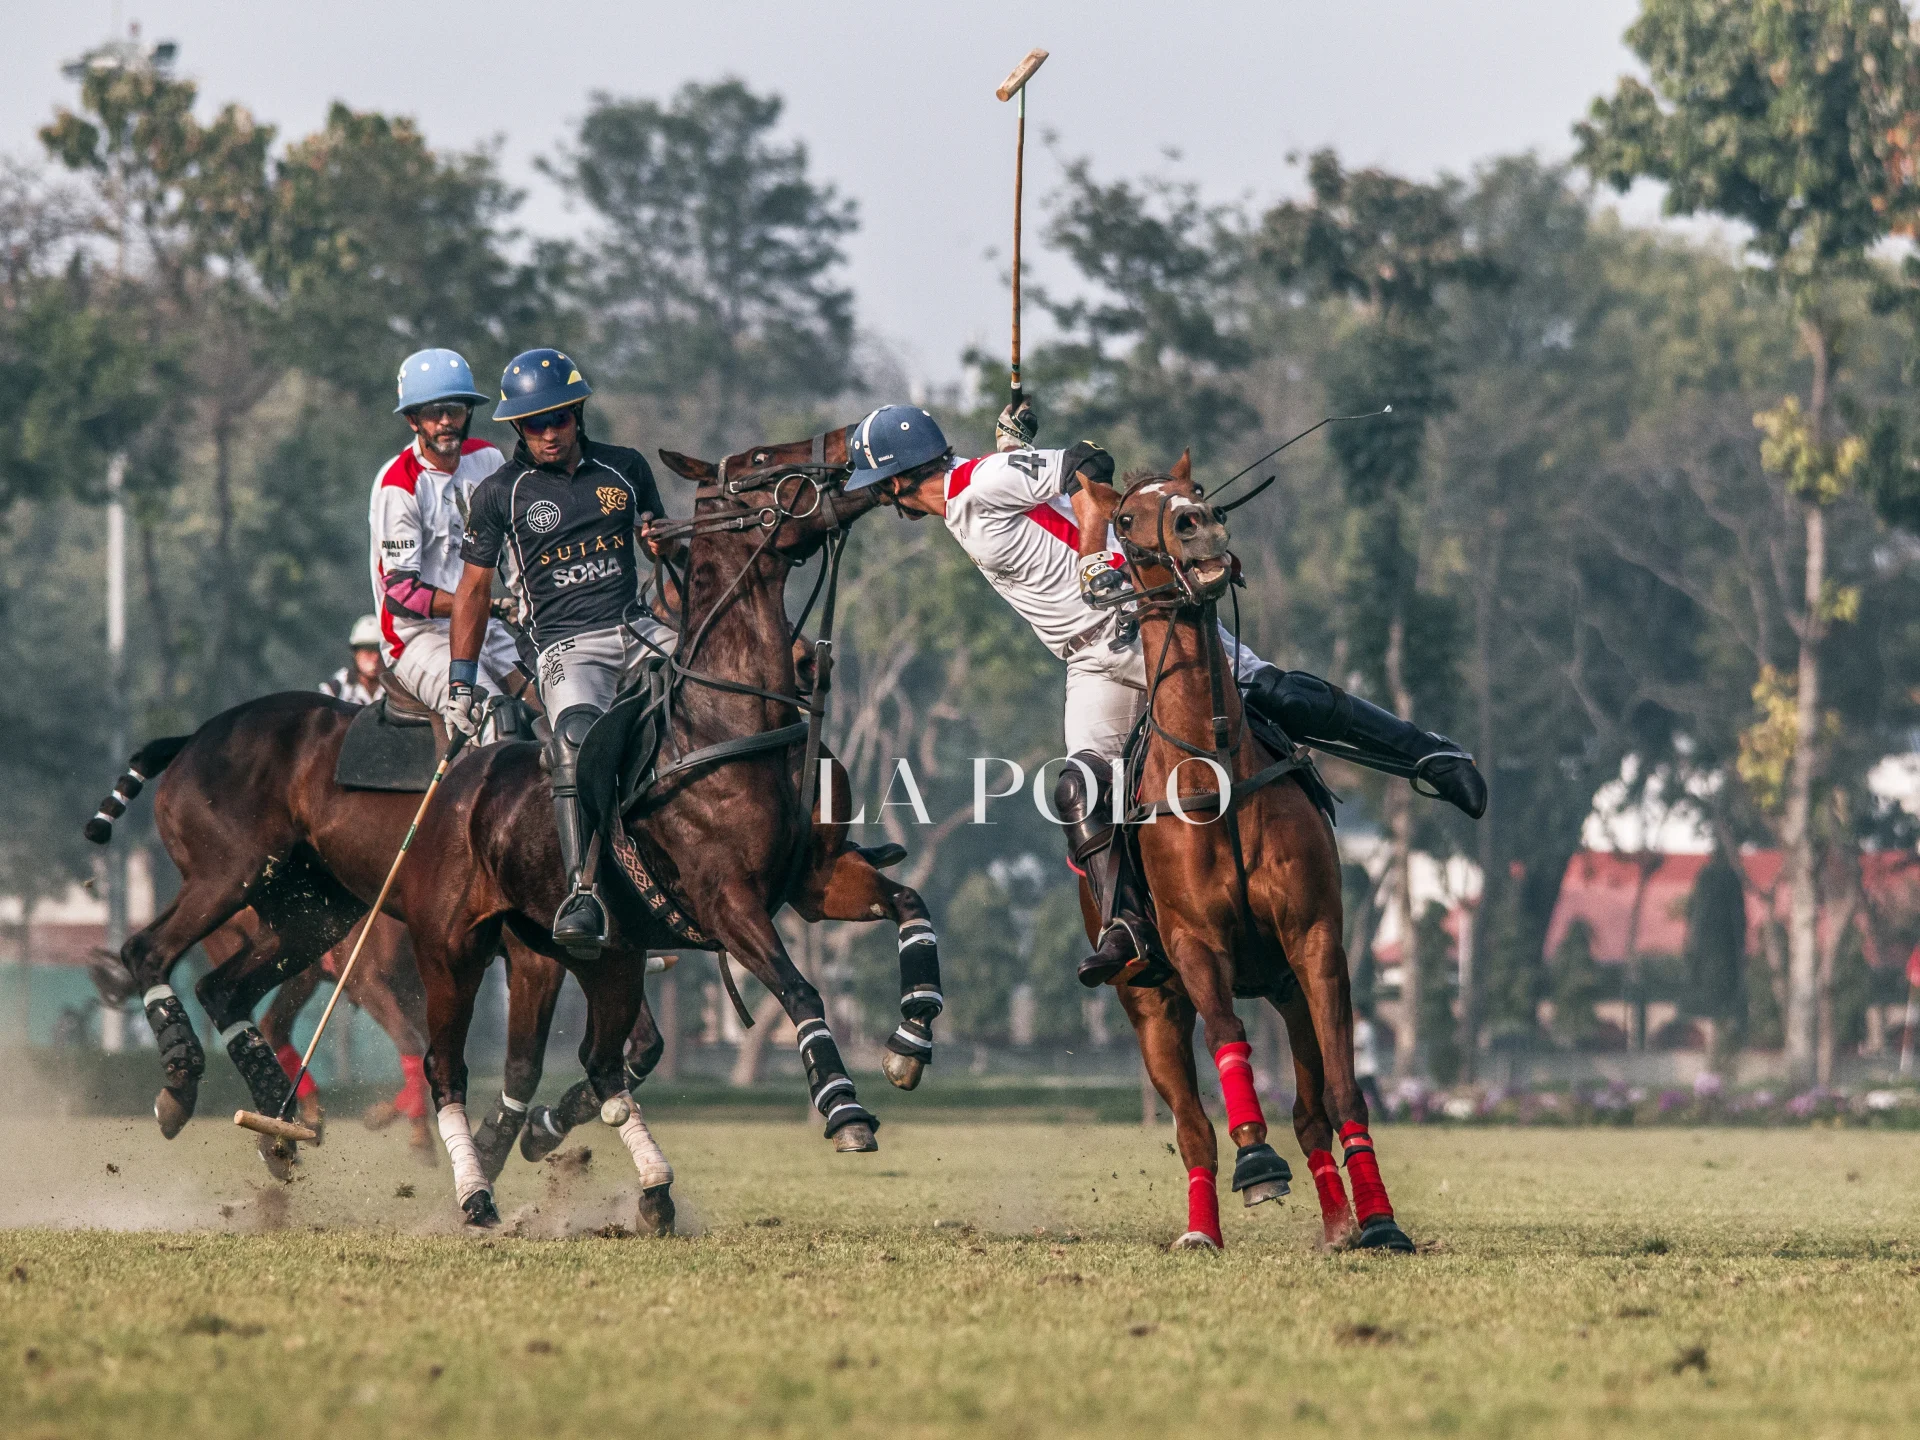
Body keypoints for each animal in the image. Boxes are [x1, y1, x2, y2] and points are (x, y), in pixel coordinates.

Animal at [1082, 456, 1413, 1259]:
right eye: (1127, 521)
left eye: (1199, 495)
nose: (1198, 529)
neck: (1213, 766)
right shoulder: (1194, 945)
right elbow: (1228, 1040)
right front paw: (1256, 1160)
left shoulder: (1315, 939)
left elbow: (1342, 1089)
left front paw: (1379, 1219)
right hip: (1146, 1001)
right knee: (1192, 1126)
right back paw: (1203, 1228)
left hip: (1285, 986)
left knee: (1310, 1112)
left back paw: (1339, 1221)